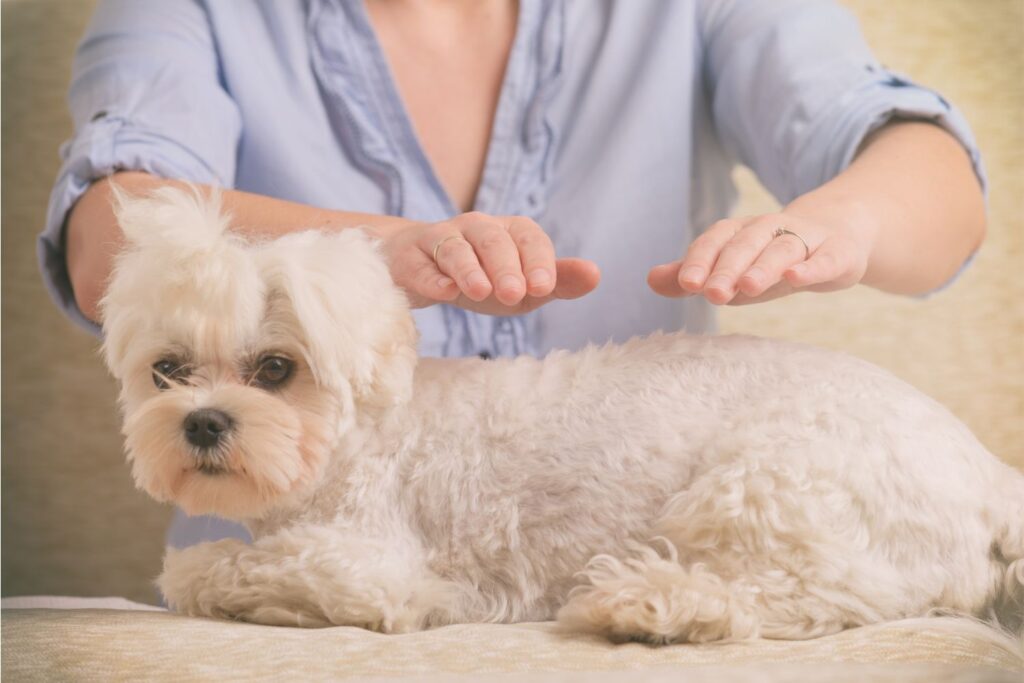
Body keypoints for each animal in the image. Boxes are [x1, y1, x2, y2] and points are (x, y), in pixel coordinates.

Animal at [97, 185, 1024, 643]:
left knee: (807, 596)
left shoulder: (365, 562)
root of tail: (992, 480)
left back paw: (654, 604)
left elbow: (201, 570)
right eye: (168, 370)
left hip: (764, 487)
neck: (366, 435)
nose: (203, 421)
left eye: (276, 369)